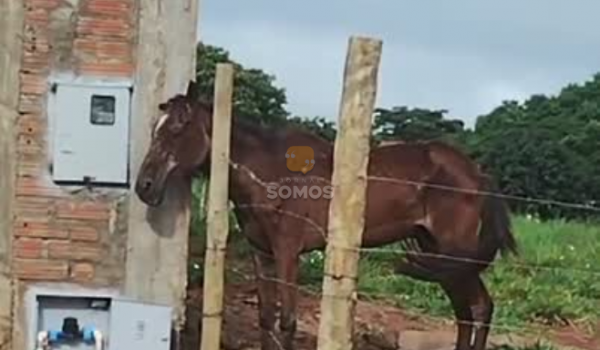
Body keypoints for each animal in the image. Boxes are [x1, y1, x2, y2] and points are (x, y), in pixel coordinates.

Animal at [135, 81, 516, 350]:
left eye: (178, 128)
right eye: (156, 128)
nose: (144, 186)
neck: (270, 174)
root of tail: (478, 174)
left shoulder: (288, 253)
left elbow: (287, 321)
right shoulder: (262, 254)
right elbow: (265, 318)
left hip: (454, 255)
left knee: (479, 308)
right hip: (438, 255)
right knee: (468, 312)